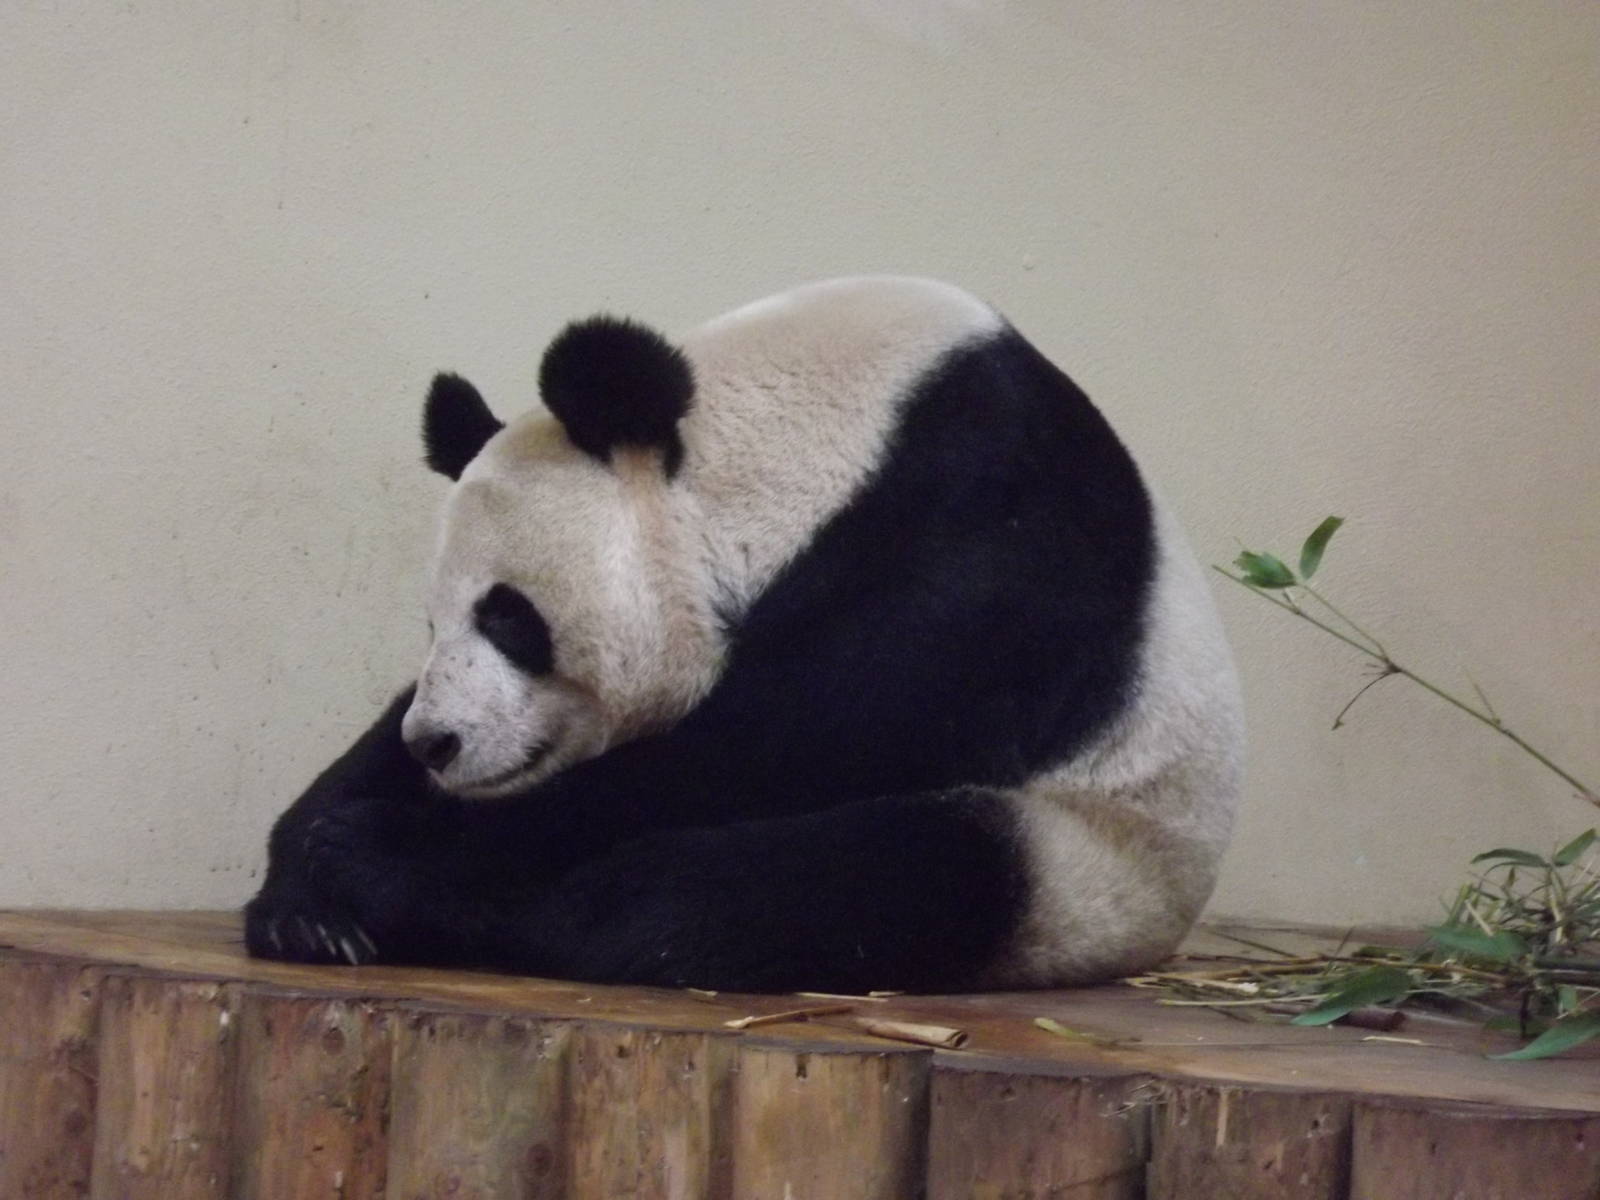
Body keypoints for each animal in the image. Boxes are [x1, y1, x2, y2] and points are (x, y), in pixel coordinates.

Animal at [245, 276, 1243, 993]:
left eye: (508, 617)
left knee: (804, 889)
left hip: (1084, 854)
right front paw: (299, 894)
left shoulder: (990, 537)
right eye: (435, 622)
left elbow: (800, 740)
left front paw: (361, 852)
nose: (438, 744)